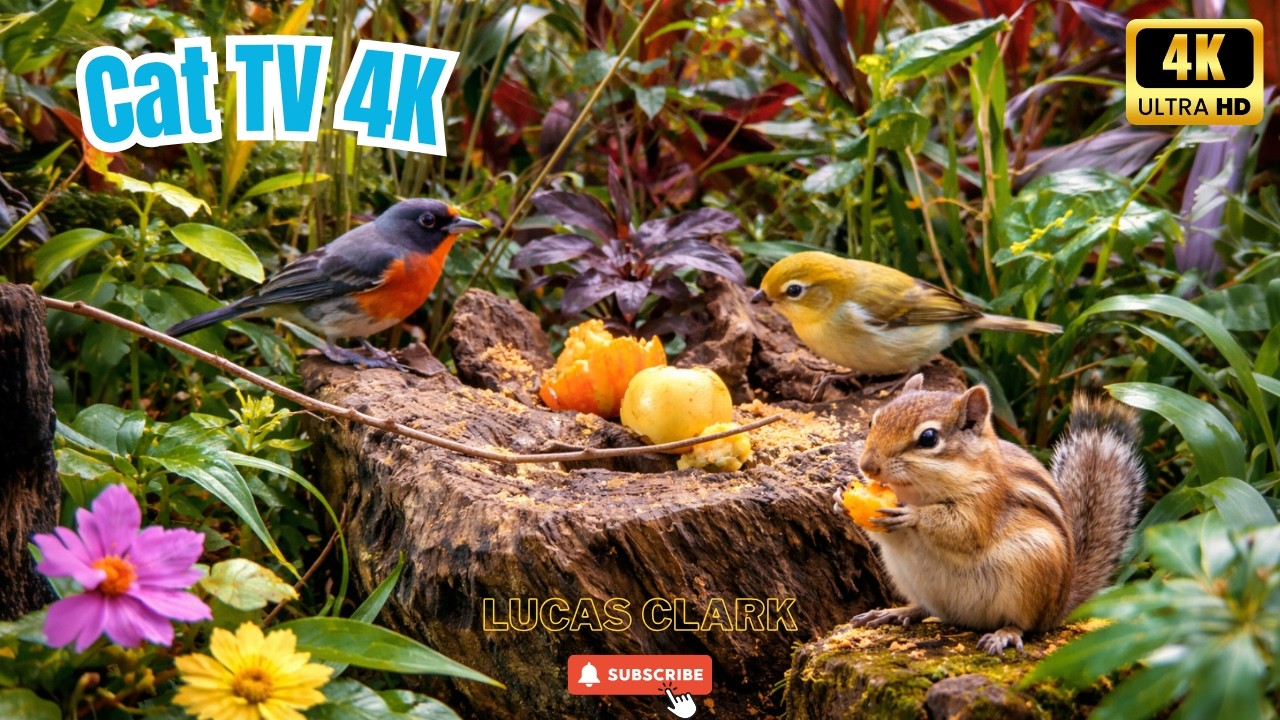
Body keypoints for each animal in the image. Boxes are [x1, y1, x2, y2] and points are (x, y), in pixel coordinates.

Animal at [839, 373, 1146, 655]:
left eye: (928, 438)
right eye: (872, 421)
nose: (867, 466)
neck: (916, 492)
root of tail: (1060, 607)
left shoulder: (986, 501)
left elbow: (963, 530)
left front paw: (912, 515)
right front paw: (840, 501)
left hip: (1032, 575)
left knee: (1025, 624)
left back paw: (1004, 634)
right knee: (927, 608)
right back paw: (896, 612)